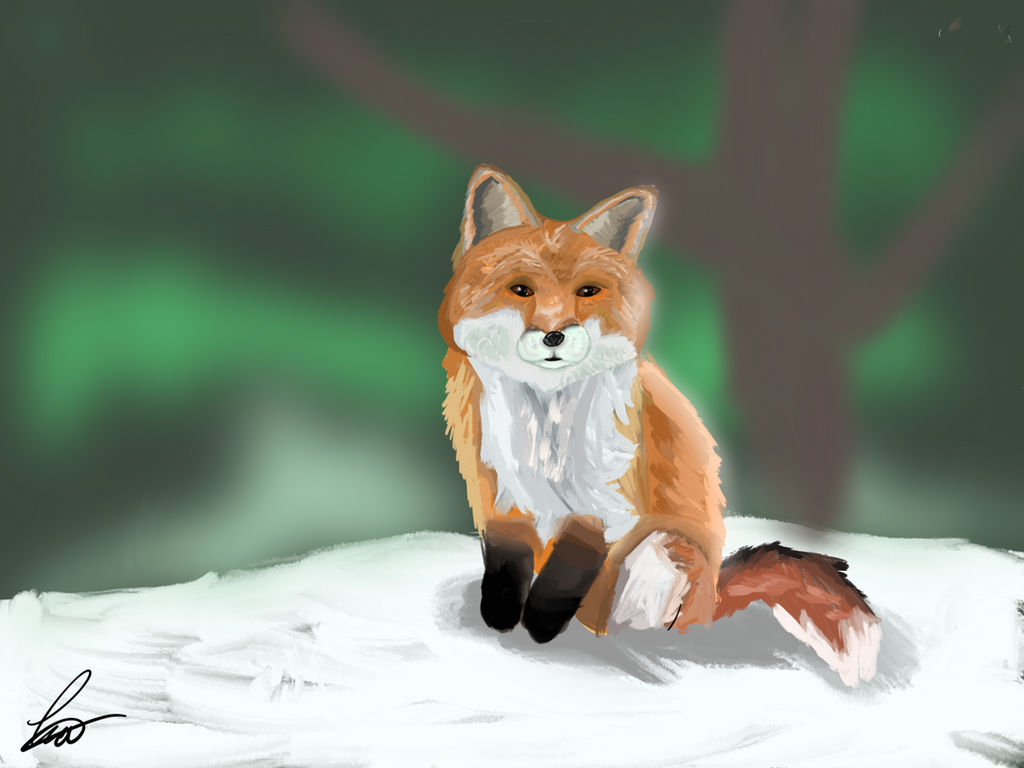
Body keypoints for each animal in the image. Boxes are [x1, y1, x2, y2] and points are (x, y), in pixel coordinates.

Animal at [439, 164, 882, 687]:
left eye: (587, 292)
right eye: (521, 289)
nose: (554, 335)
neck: (547, 424)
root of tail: (711, 601)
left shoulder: (607, 504)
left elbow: (564, 581)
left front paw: (544, 630)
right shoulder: (500, 496)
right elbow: (505, 572)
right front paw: (501, 623)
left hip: (663, 549)